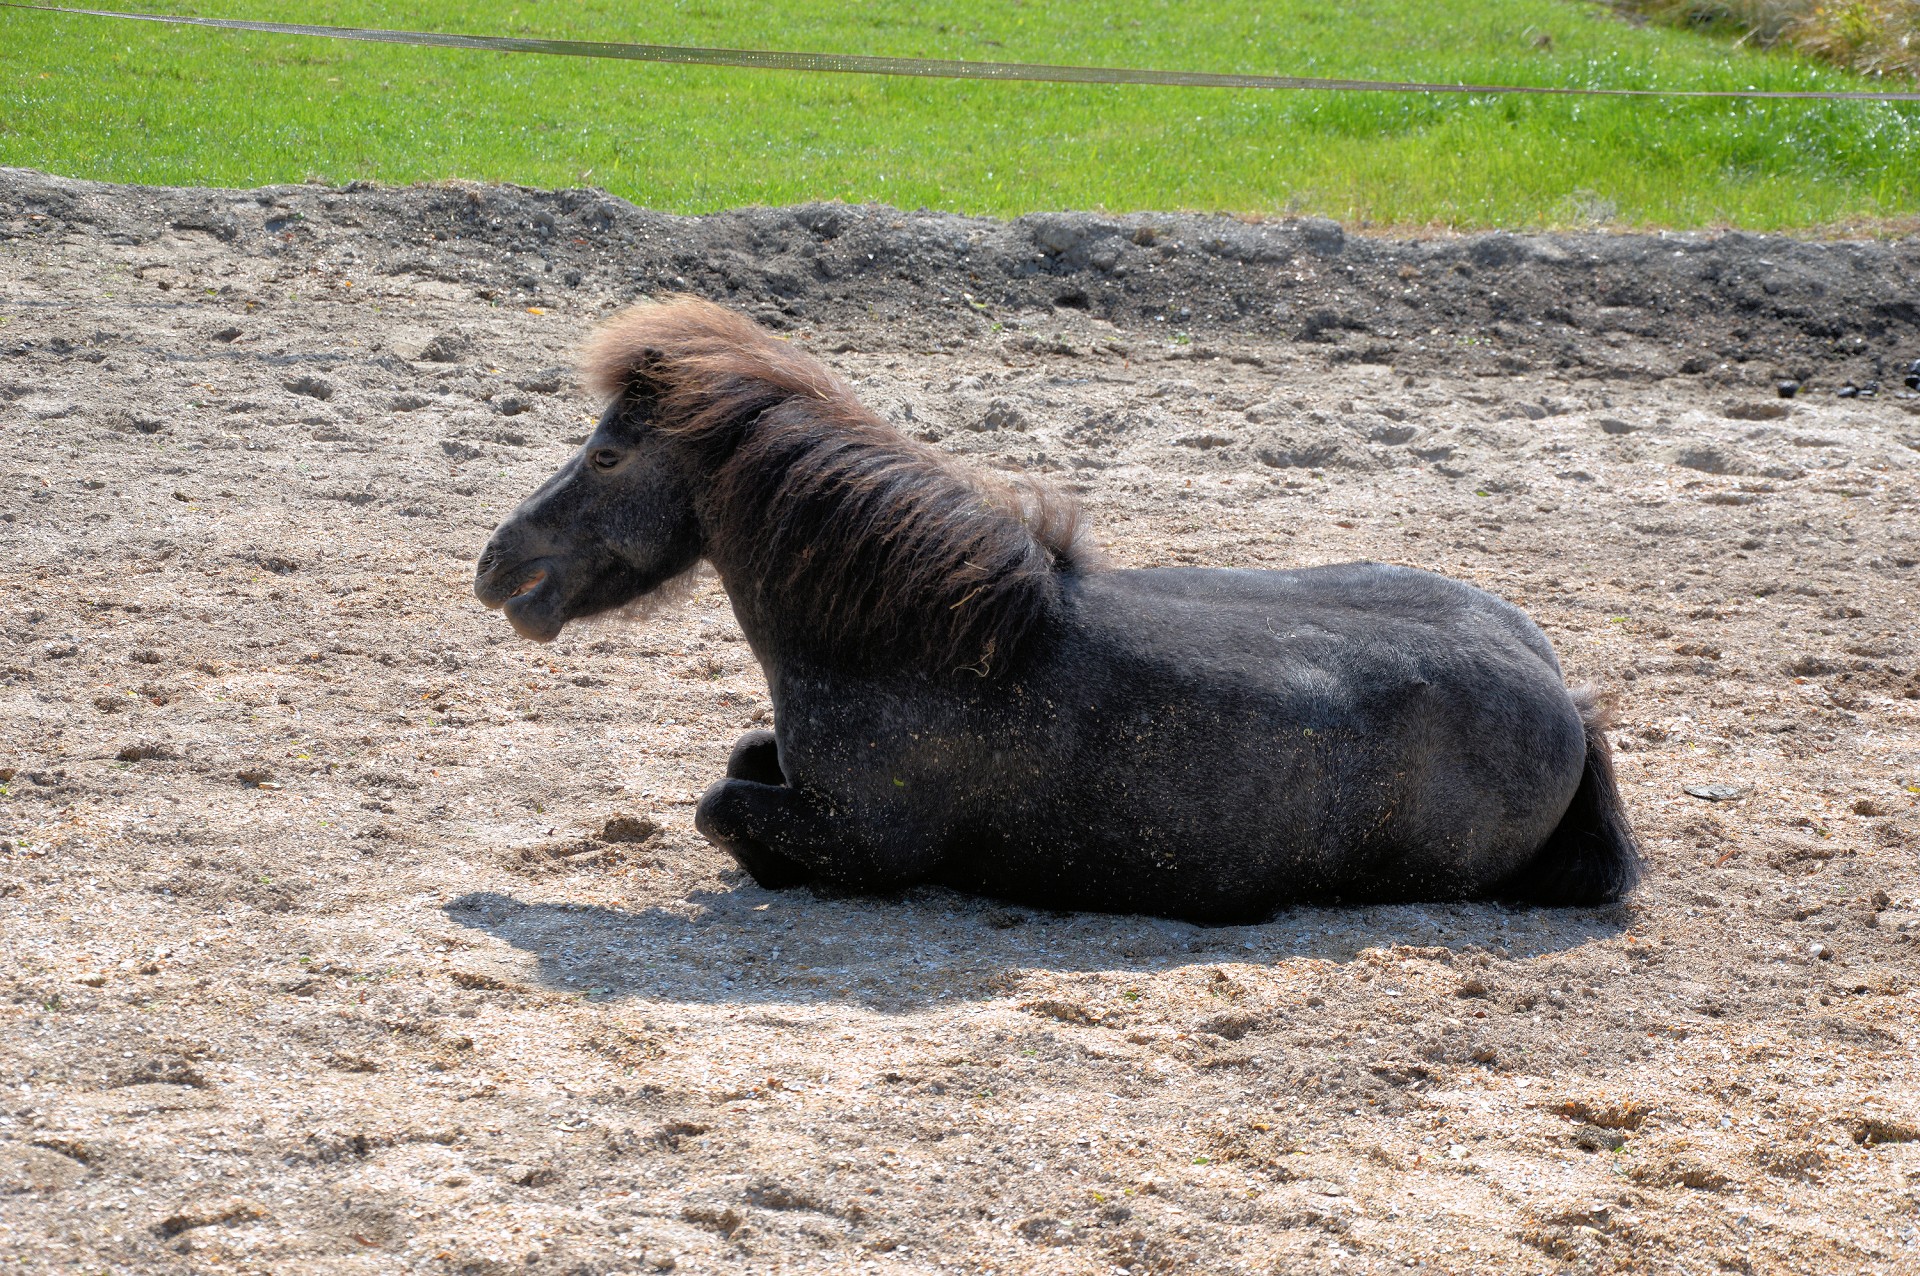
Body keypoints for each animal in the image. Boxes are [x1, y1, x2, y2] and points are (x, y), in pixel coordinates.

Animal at [476, 299, 1635, 917]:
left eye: (608, 453)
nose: (496, 566)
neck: (919, 641)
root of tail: (1566, 700)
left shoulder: (860, 843)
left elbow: (720, 805)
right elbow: (738, 758)